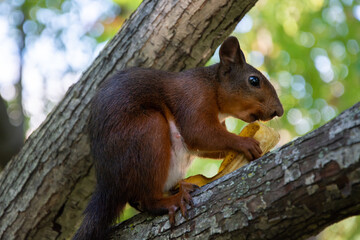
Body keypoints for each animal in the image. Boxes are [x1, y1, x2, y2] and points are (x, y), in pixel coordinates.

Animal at [73, 36, 284, 239]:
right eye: (254, 81)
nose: (279, 111)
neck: (213, 86)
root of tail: (109, 184)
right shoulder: (194, 96)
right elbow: (198, 132)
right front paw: (244, 142)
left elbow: (209, 148)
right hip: (148, 133)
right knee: (148, 201)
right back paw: (171, 200)